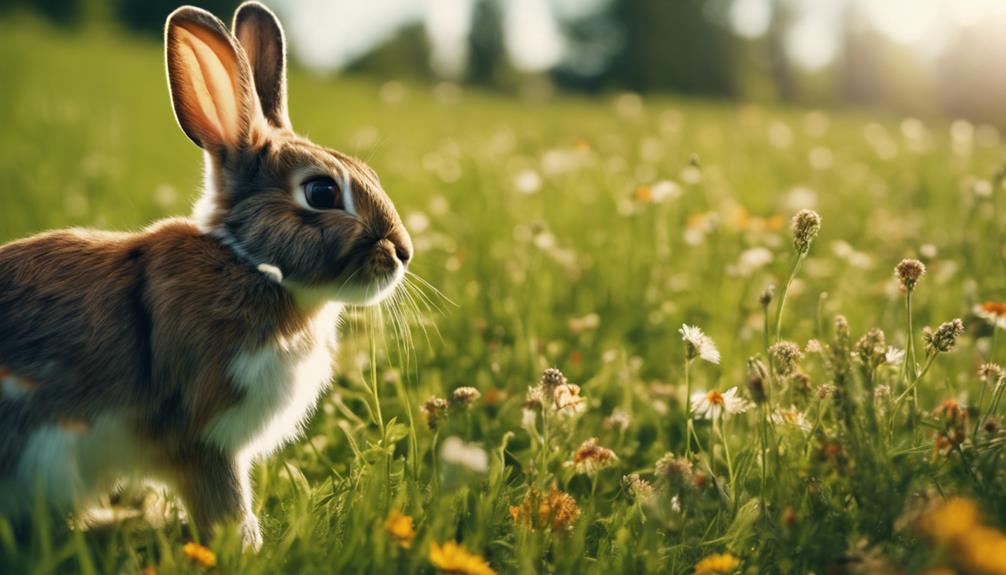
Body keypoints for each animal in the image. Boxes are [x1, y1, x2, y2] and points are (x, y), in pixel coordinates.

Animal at [0, 1, 412, 550]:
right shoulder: (206, 439)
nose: (404, 253)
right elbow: (226, 502)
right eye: (322, 192)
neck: (250, 264)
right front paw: (247, 549)